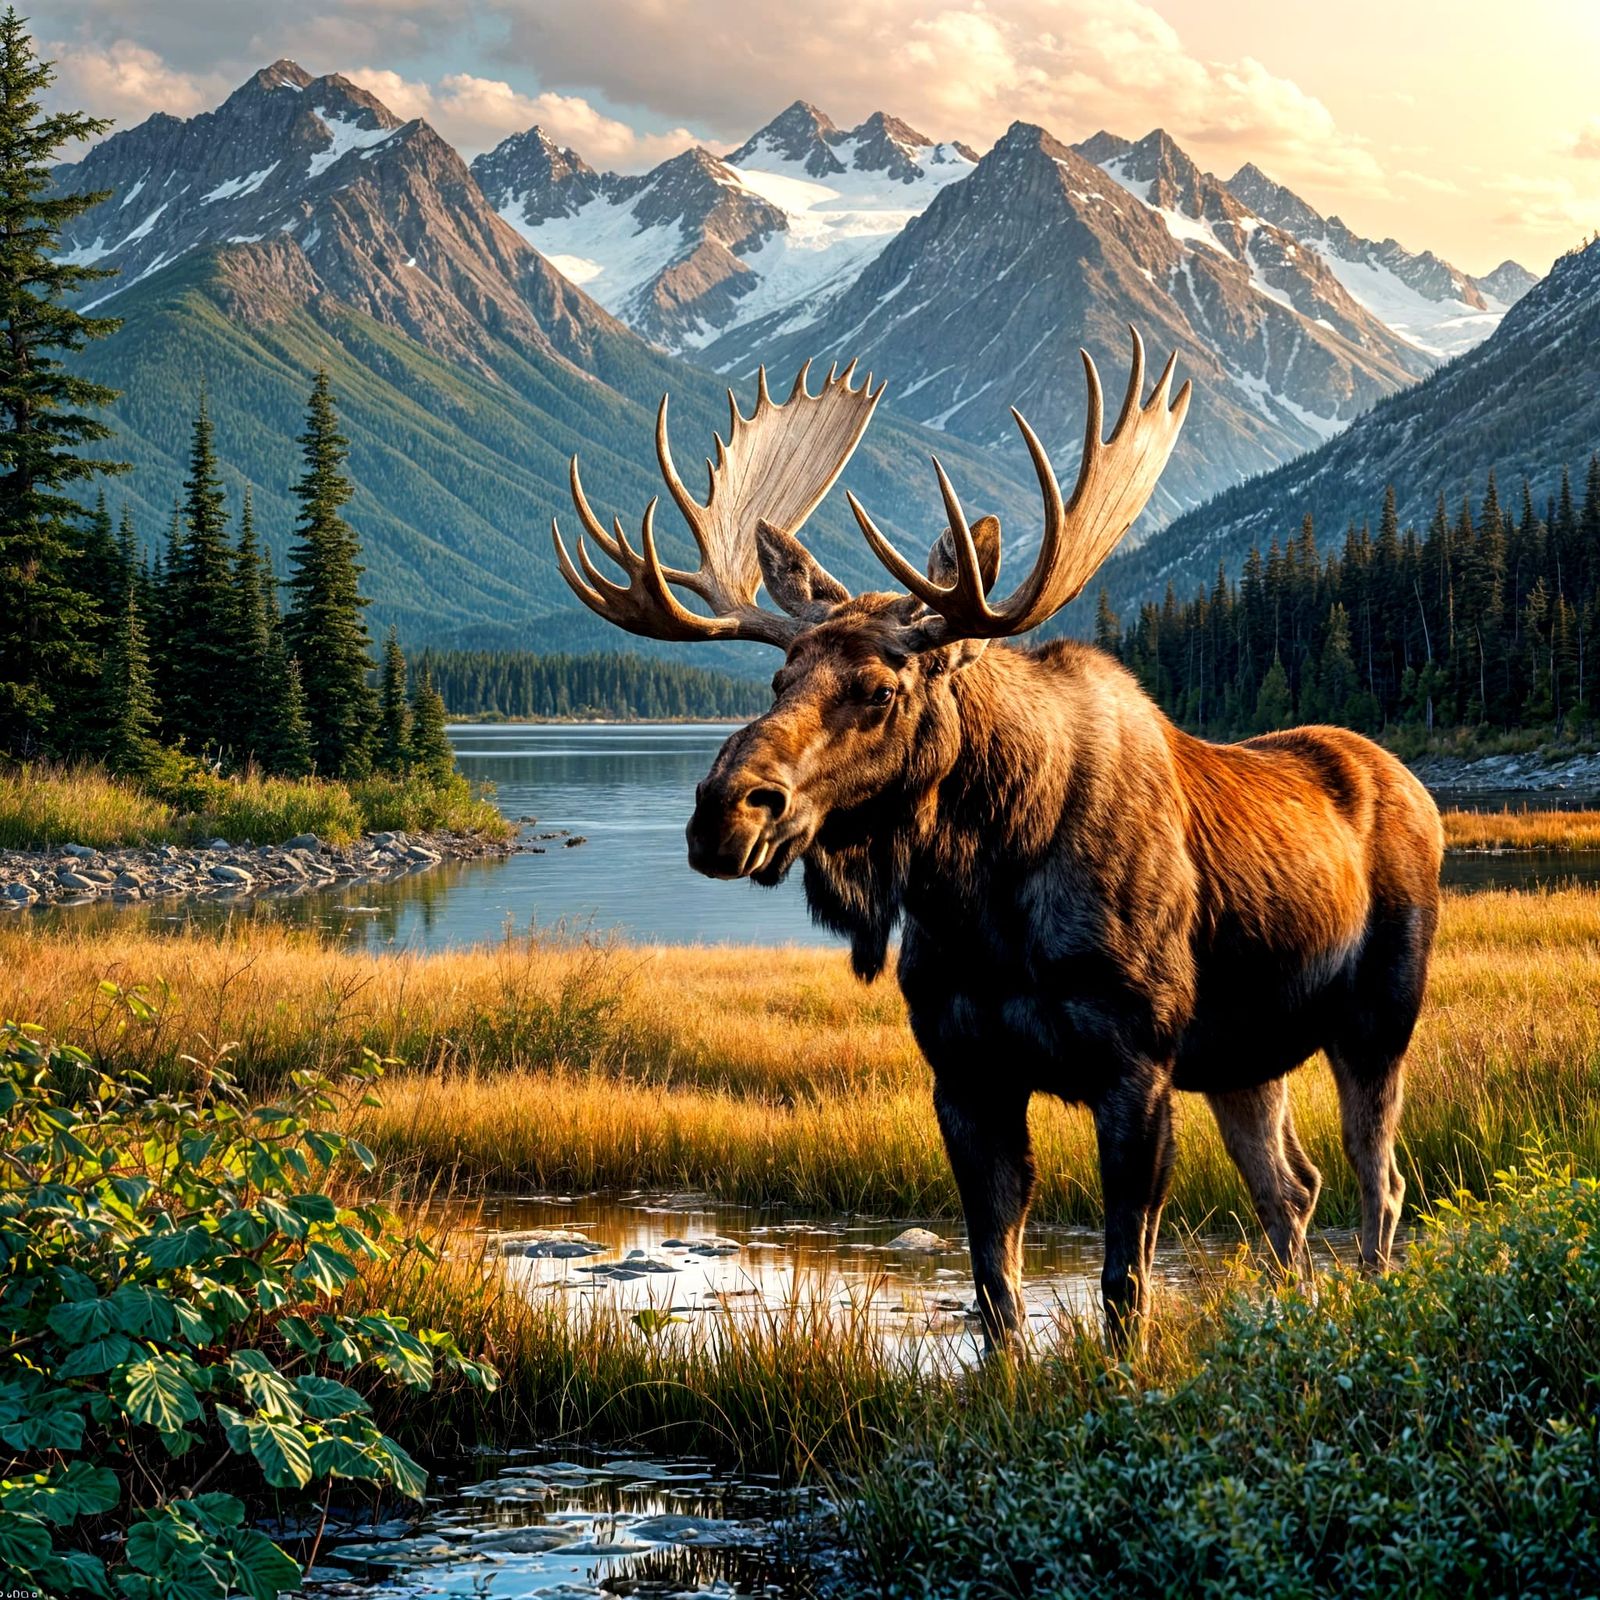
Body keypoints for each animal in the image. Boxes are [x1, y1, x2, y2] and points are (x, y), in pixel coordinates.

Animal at [552, 332, 1444, 1353]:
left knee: (1380, 1183)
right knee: (1292, 1189)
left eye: (880, 689)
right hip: (1243, 1053)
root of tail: (1422, 792)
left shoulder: (1137, 1064)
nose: (723, 811)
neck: (983, 899)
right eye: (781, 676)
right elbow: (994, 1284)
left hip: (1377, 1018)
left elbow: (1123, 1287)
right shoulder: (963, 1069)